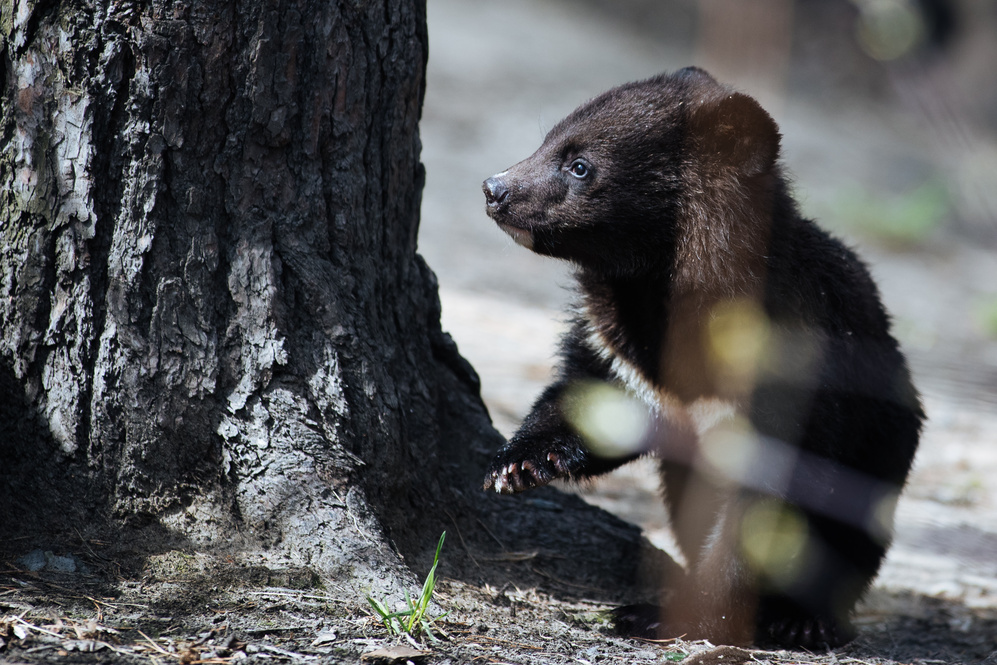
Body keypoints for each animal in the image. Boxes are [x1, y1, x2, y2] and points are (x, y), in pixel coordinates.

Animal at [480, 67, 923, 649]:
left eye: (579, 165)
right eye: (547, 140)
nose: (493, 188)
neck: (656, 294)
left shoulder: (789, 376)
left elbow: (762, 510)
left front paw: (655, 616)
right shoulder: (614, 345)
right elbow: (588, 401)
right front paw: (514, 466)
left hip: (883, 445)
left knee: (849, 539)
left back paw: (804, 619)